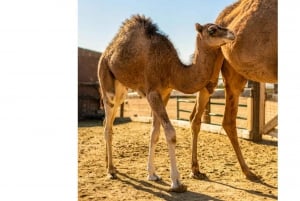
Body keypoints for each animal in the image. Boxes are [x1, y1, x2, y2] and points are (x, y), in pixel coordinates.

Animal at [98, 14, 234, 192]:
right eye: (212, 29)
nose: (232, 34)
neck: (172, 69)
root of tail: (107, 52)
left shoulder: (165, 93)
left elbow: (154, 134)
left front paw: (152, 174)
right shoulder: (152, 92)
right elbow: (170, 133)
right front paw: (176, 182)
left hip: (121, 88)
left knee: (107, 122)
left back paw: (111, 166)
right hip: (106, 80)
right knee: (108, 126)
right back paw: (110, 171)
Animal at [190, 0, 276, 181]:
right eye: (212, 30)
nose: (232, 33)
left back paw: (248, 171)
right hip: (216, 70)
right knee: (198, 118)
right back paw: (196, 170)